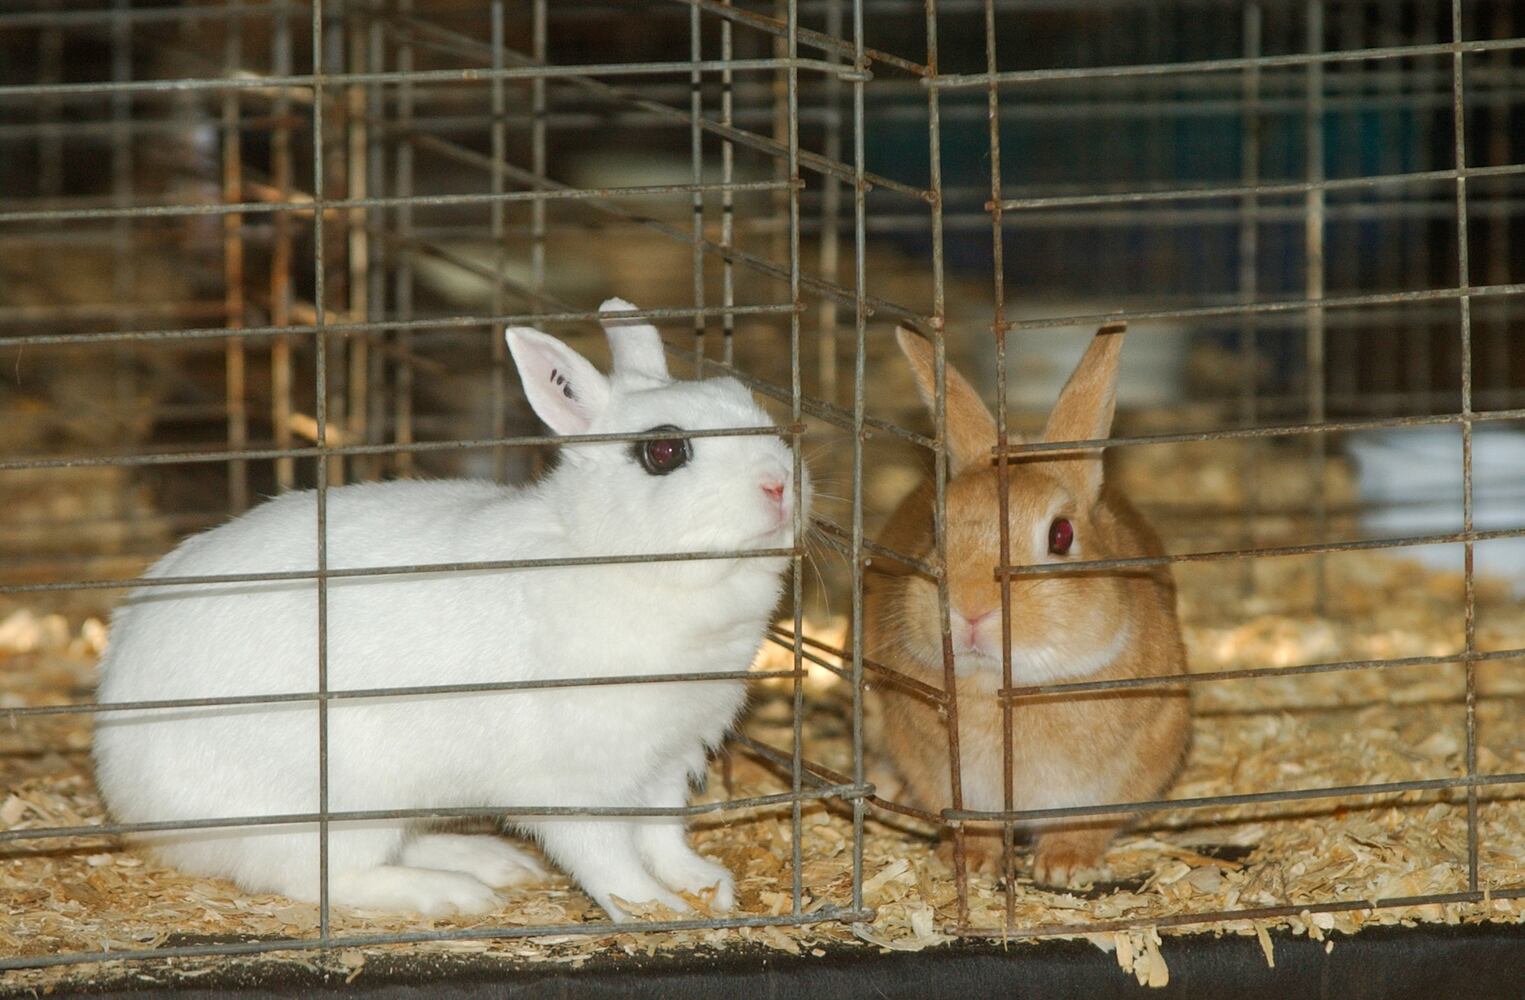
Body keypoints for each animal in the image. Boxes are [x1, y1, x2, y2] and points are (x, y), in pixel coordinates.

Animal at [92, 298, 811, 920]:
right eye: (663, 452)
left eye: (748, 403)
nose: (780, 484)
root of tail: (126, 792)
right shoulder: (571, 783)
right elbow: (607, 857)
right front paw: (653, 911)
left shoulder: (666, 760)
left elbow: (663, 832)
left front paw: (704, 885)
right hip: (340, 805)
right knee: (316, 877)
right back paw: (451, 891)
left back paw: (487, 860)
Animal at [872, 324, 1189, 884]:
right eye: (935, 527)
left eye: (1061, 535)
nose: (970, 610)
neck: (1001, 687)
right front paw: (974, 863)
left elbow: (1085, 825)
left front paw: (1065, 866)